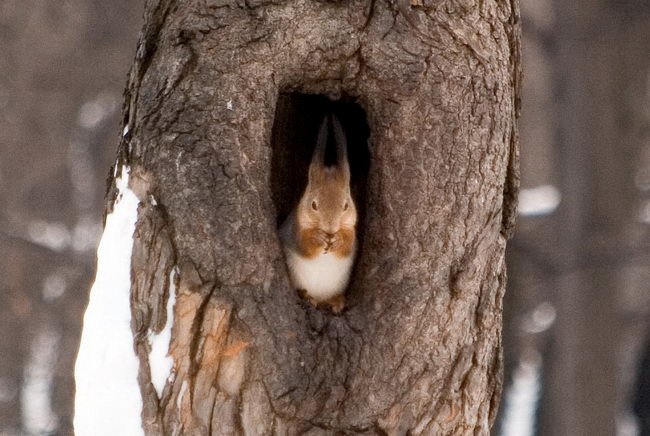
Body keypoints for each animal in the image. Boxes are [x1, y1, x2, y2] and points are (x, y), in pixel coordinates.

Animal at [280, 114, 357, 313]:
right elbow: (304, 244)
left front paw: (338, 240)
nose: (330, 228)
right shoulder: (294, 228)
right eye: (314, 205)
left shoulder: (352, 228)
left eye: (346, 205)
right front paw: (318, 237)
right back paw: (307, 296)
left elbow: (348, 244)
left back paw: (336, 301)